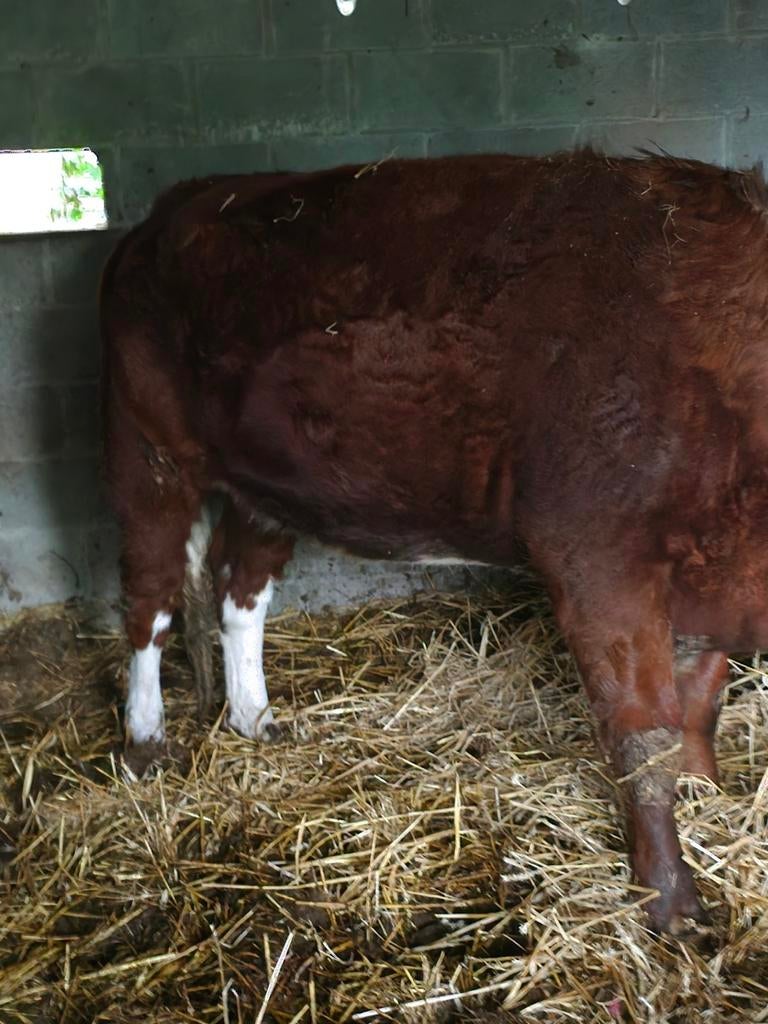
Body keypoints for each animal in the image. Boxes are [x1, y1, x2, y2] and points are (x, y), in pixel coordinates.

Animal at [101, 150, 768, 934]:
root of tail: (172, 208)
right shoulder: (600, 560)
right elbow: (643, 734)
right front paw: (668, 897)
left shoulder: (712, 575)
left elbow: (700, 702)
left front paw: (706, 797)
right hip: (147, 456)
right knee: (149, 601)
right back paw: (146, 740)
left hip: (264, 487)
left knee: (241, 594)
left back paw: (254, 718)